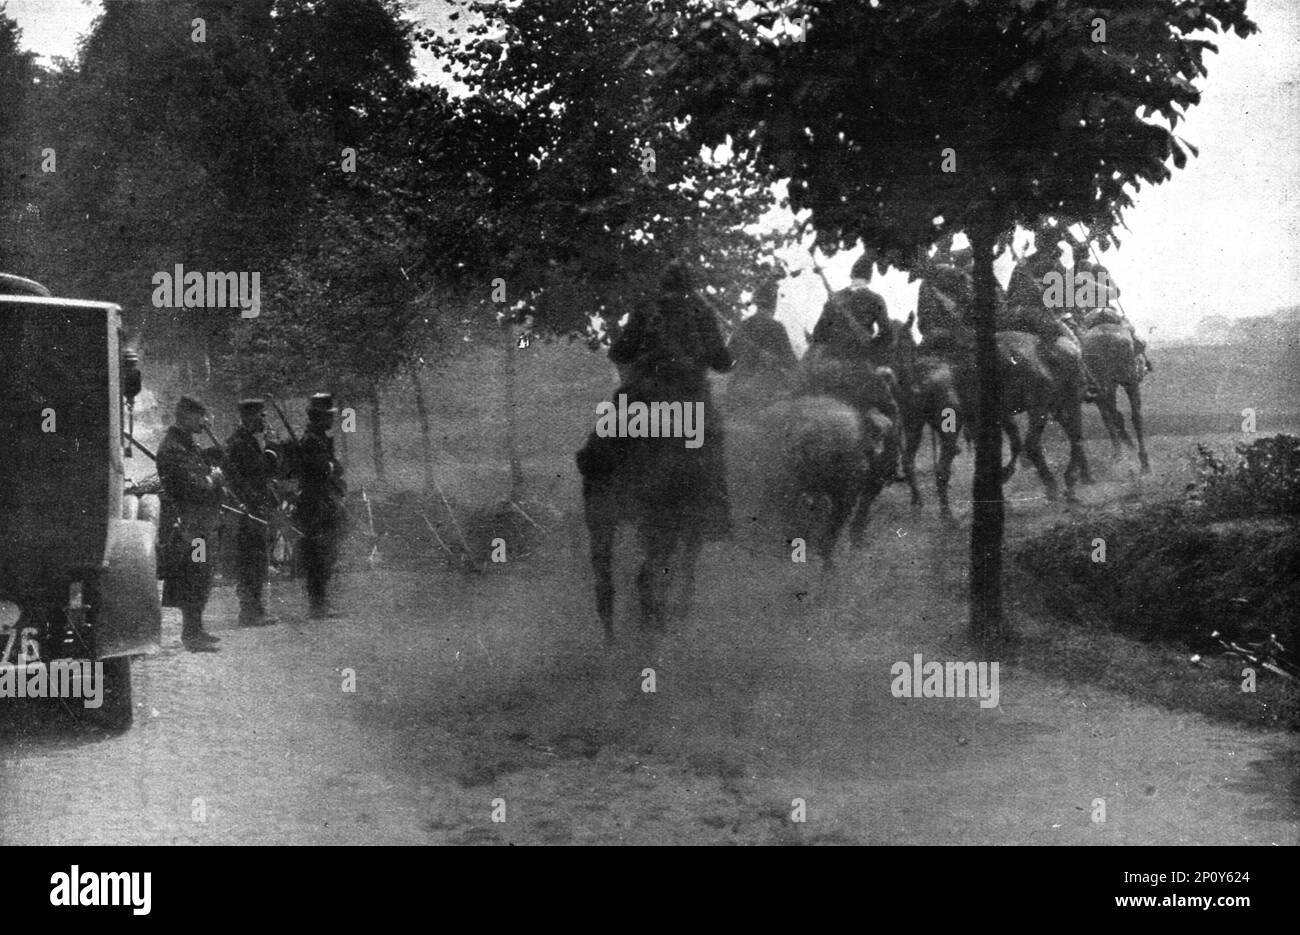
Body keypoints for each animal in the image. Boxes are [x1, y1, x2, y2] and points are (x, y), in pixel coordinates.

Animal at [1076, 318, 1149, 475]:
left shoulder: (1103, 391)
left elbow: (1112, 418)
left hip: (1105, 388)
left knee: (1113, 418)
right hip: (1128, 383)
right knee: (1135, 417)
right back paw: (1143, 461)